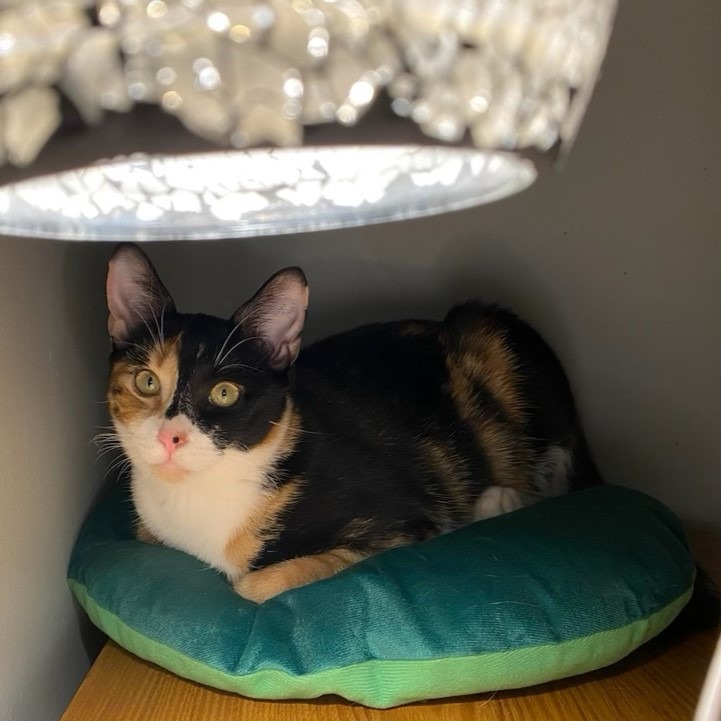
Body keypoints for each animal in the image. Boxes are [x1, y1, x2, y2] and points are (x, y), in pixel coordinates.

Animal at [104, 243, 601, 603]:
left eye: (224, 392)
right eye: (146, 381)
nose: (170, 436)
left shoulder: (405, 519)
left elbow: (253, 586)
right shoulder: (151, 528)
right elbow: (146, 534)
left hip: (486, 329)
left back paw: (500, 500)